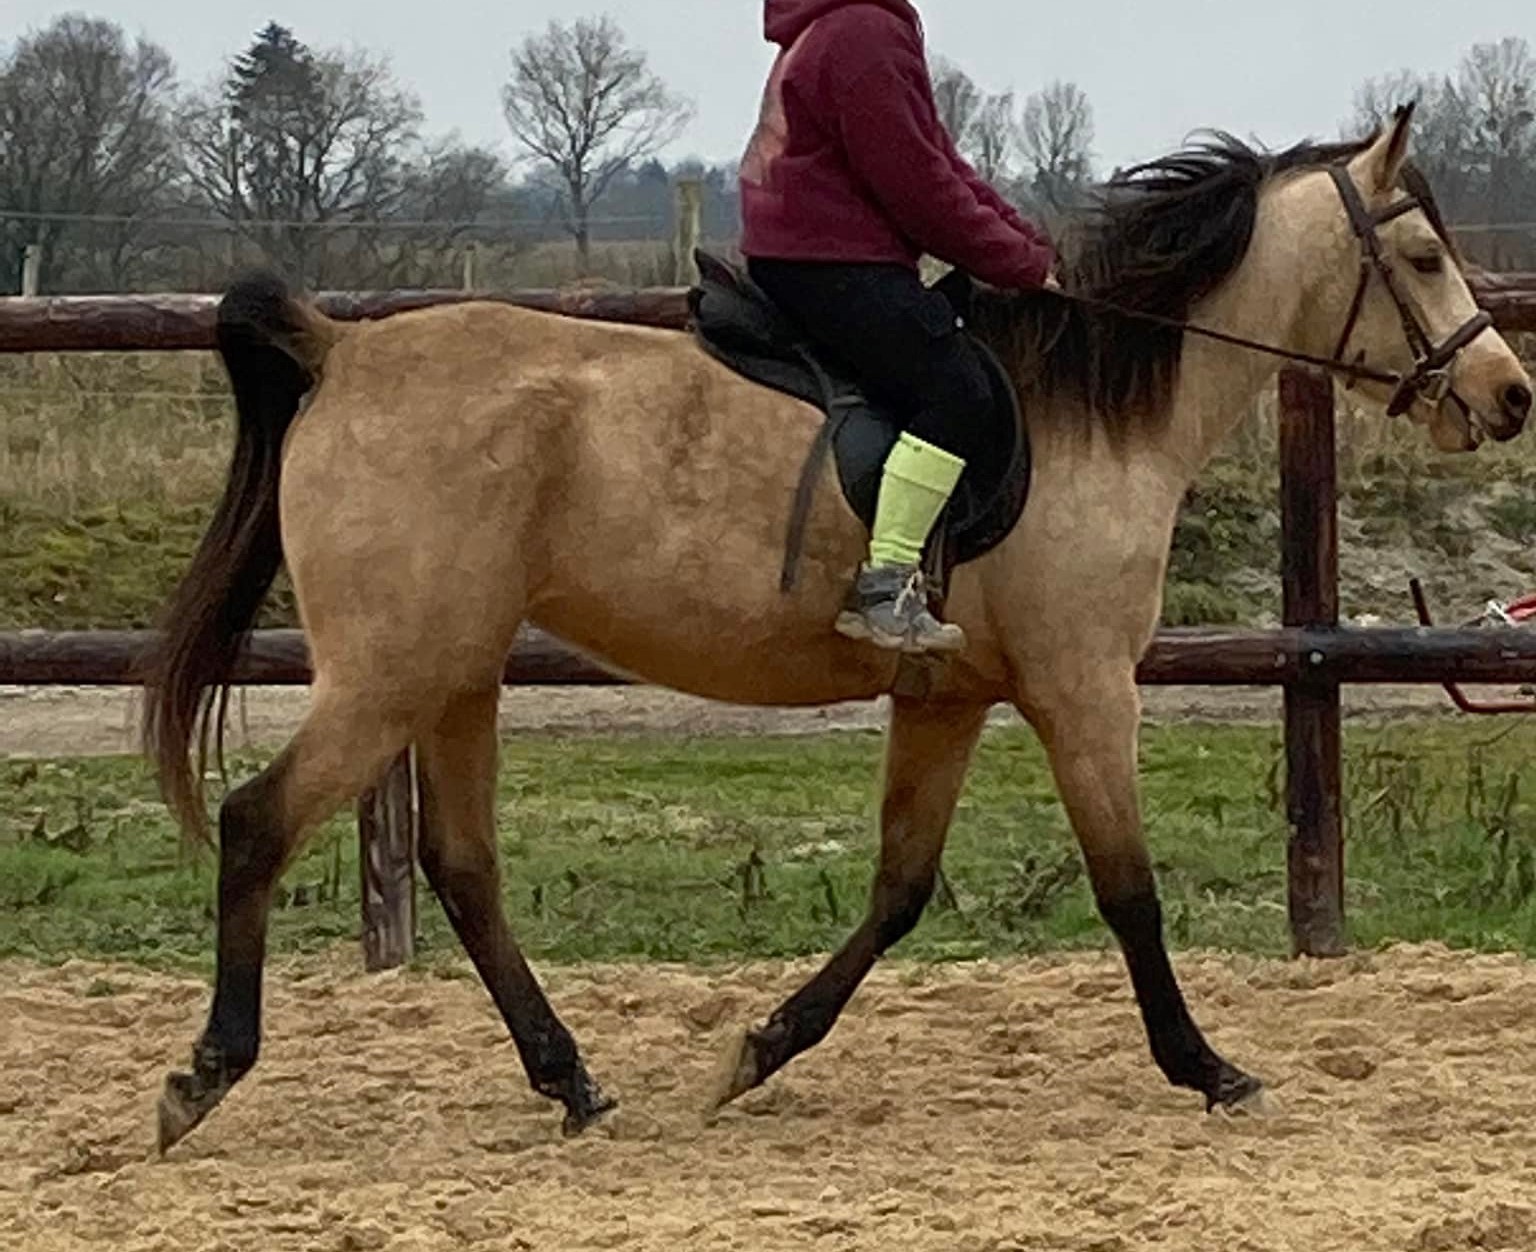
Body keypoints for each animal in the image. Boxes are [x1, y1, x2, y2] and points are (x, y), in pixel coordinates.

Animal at [141, 109, 1523, 1155]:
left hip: (455, 673)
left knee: (464, 867)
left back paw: (572, 1080)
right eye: (1419, 253)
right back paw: (205, 1073)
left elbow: (901, 890)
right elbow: (1128, 890)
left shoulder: (948, 699)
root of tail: (341, 347)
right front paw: (1209, 1067)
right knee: (262, 821)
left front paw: (759, 1047)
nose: (1510, 395)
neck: (1094, 413)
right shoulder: (1084, 688)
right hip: (391, 670)